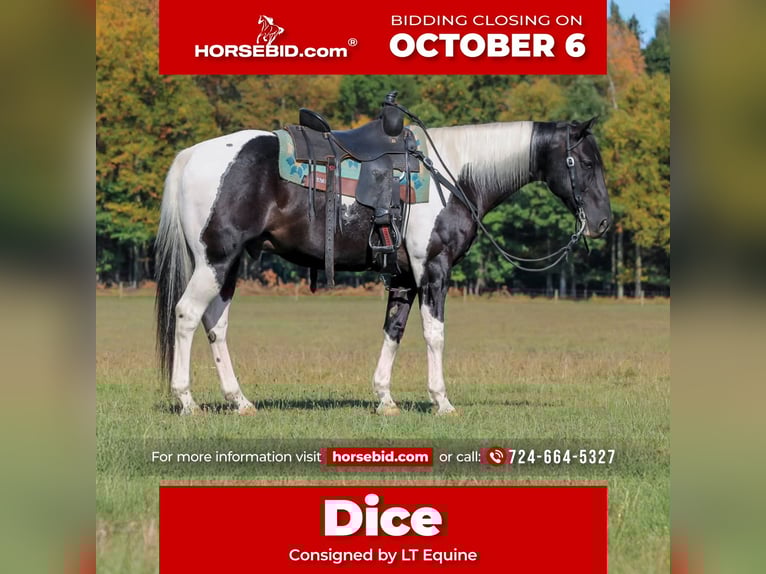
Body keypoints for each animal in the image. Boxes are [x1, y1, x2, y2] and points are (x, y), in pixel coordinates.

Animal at [154, 114, 612, 416]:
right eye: (587, 163)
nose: (603, 222)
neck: (454, 175)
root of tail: (192, 155)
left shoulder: (404, 277)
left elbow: (394, 331)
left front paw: (385, 399)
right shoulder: (433, 270)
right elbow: (434, 334)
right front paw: (442, 401)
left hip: (226, 266)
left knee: (216, 325)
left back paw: (240, 401)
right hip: (215, 260)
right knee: (188, 315)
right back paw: (186, 400)